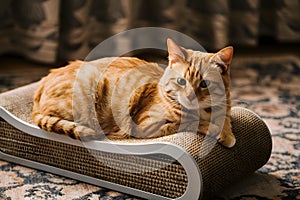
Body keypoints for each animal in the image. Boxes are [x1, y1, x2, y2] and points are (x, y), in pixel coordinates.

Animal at [31, 38, 236, 147]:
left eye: (204, 84)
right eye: (181, 81)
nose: (190, 96)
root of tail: (43, 81)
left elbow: (225, 120)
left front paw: (227, 133)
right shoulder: (145, 125)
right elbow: (188, 122)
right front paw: (215, 130)